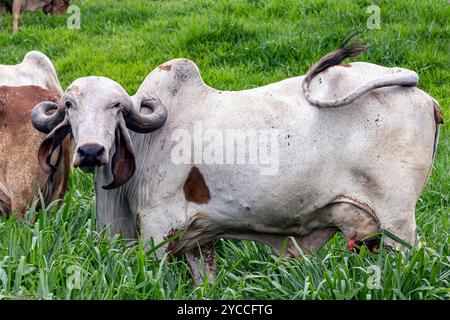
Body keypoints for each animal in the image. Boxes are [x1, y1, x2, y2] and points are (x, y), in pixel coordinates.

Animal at [31, 41, 442, 284]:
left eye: (116, 106)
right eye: (69, 105)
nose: (91, 152)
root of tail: (424, 95)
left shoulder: (156, 229)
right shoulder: (199, 239)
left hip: (397, 222)